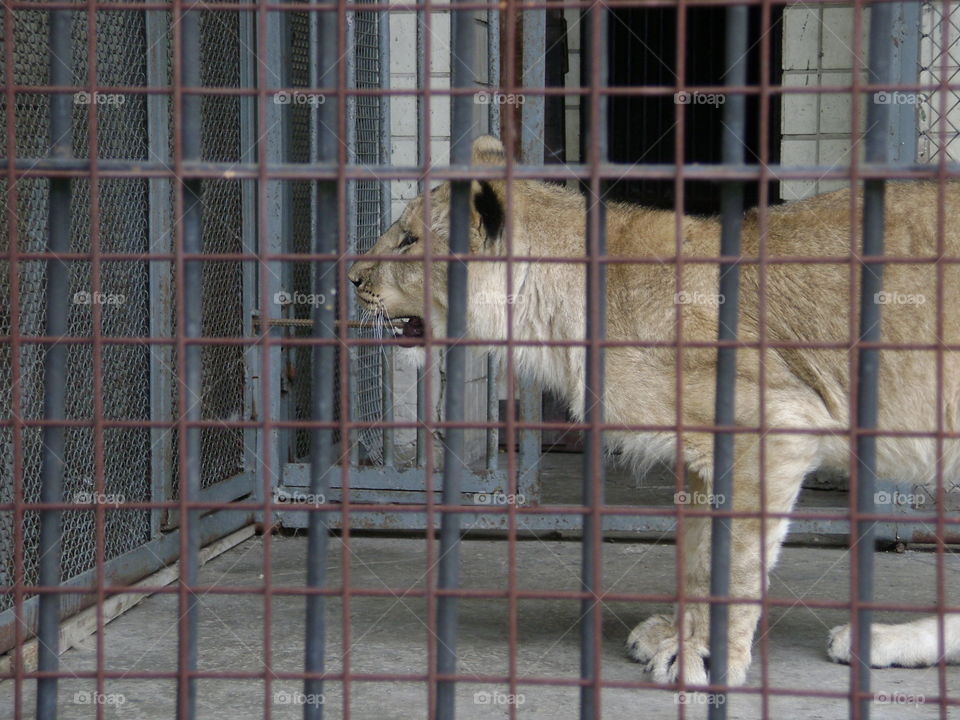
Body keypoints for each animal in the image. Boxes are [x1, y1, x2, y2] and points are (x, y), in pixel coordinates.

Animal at [348, 134, 960, 688]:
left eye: (408, 241)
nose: (352, 277)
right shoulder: (702, 455)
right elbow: (698, 557)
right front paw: (678, 636)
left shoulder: (775, 428)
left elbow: (736, 563)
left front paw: (710, 659)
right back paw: (876, 641)